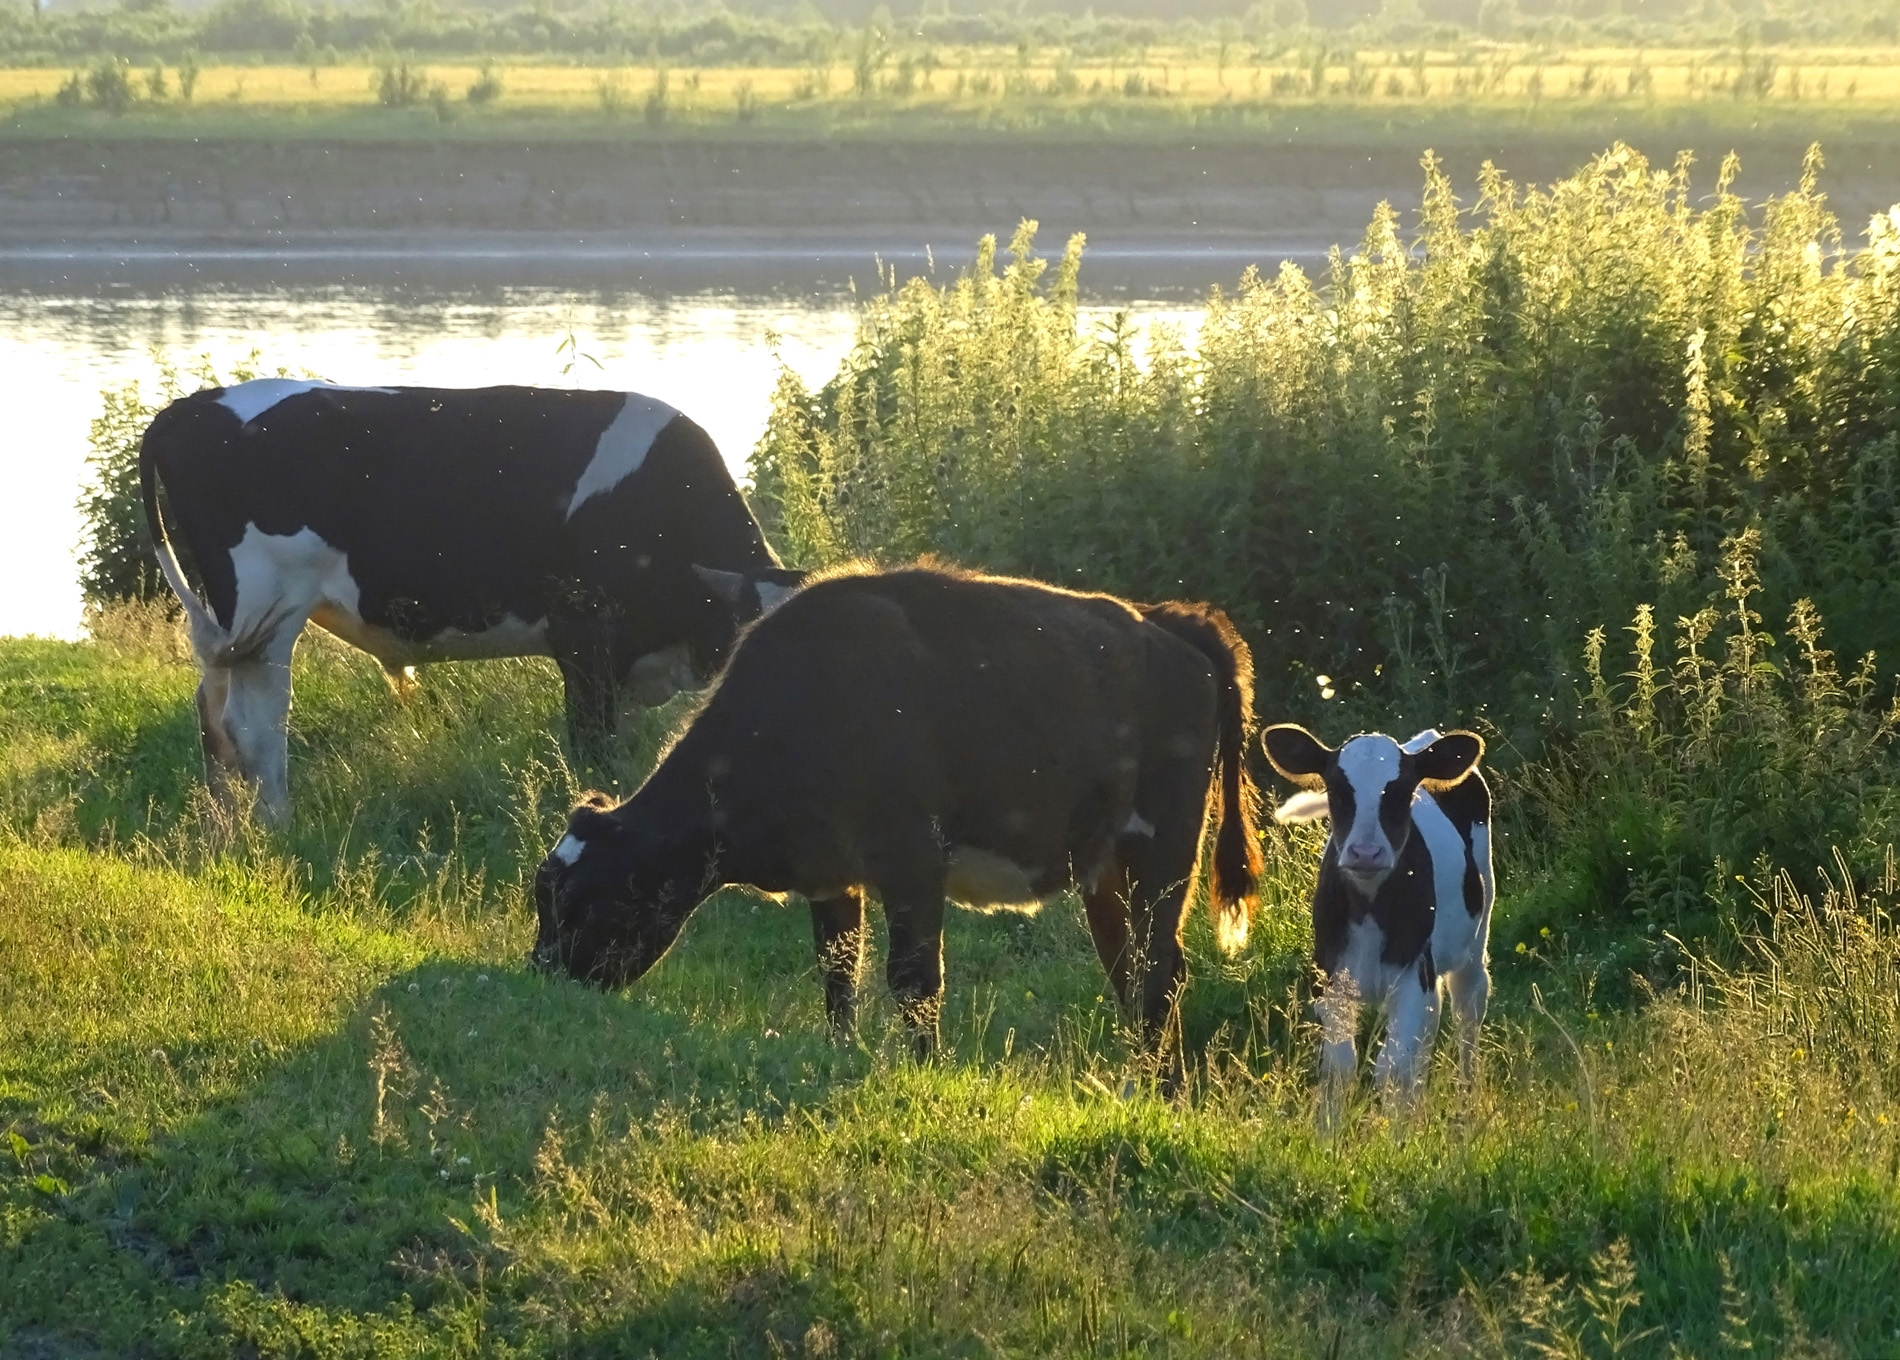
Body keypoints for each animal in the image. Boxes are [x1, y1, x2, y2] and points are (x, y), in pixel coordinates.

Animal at [142, 377, 801, 824]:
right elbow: (594, 747)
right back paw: (278, 821)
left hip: (226, 622)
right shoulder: (584, 639)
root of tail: (192, 405)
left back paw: (227, 819)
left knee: (214, 711)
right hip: (267, 610)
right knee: (255, 722)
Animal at [532, 558, 1261, 1078]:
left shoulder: (912, 859)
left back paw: (1152, 1089)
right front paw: (841, 1055)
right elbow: (838, 970)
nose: (540, 981)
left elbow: (913, 979)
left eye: (582, 902)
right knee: (1132, 971)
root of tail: (1170, 622)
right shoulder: (831, 874)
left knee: (1160, 973)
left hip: (1165, 852)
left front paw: (924, 1075)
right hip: (1104, 872)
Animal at [1261, 721, 1497, 1124]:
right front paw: (1329, 1132)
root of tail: (1426, 739)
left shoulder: (1412, 974)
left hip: (1473, 942)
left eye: (1403, 793)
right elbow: (1339, 1066)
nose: (1365, 853)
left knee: (1468, 1011)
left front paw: (1399, 1132)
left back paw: (1466, 1102)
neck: (1370, 907)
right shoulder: (1330, 976)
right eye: (1336, 790)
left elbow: (1393, 1066)